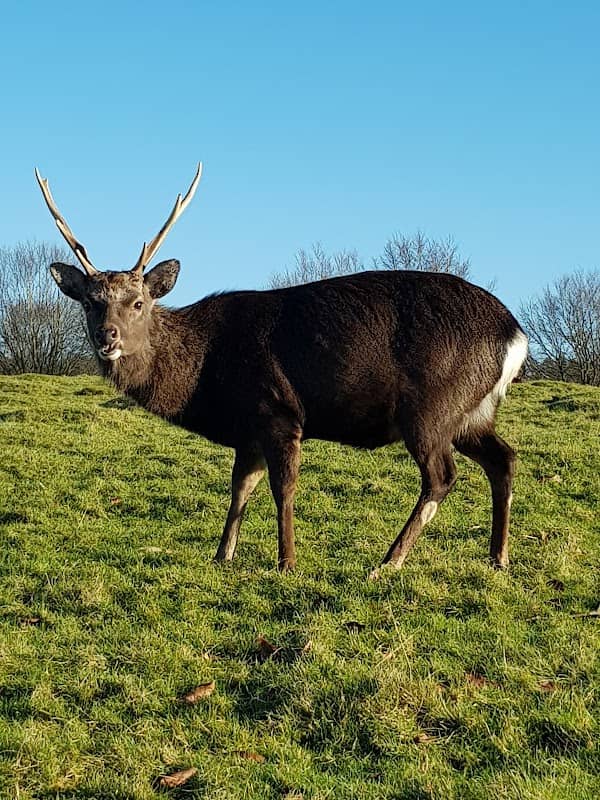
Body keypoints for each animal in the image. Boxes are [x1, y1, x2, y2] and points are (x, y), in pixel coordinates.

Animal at [36, 164, 528, 574]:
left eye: (138, 302)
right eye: (90, 302)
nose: (108, 337)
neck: (206, 377)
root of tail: (515, 336)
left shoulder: (277, 411)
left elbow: (282, 488)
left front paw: (286, 561)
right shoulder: (248, 430)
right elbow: (240, 489)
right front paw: (222, 555)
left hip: (432, 405)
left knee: (442, 475)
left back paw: (389, 561)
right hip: (472, 411)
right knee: (502, 457)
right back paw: (498, 556)